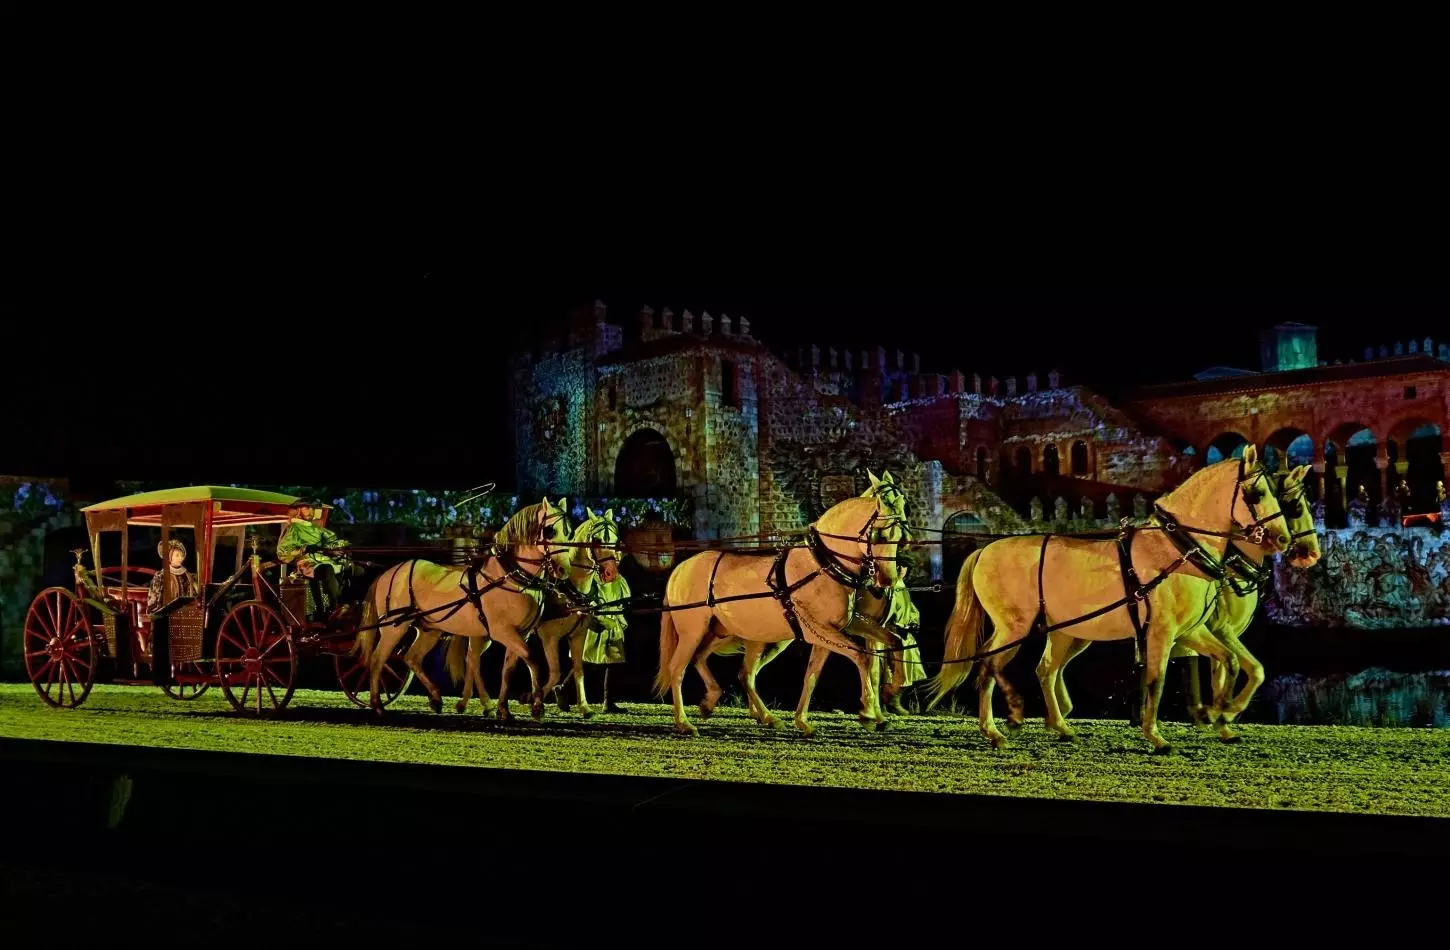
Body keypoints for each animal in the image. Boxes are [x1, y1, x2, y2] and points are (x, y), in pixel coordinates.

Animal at [355, 498, 571, 722]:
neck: (509, 577)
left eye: (569, 531)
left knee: (411, 658)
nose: (564, 570)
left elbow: (509, 670)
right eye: (550, 531)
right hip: (394, 627)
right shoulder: (502, 632)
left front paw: (503, 709)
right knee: (377, 660)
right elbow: (534, 662)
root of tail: (388, 573)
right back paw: (377, 705)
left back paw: (436, 698)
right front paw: (536, 706)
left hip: (430, 629)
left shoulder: (521, 633)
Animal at [658, 472, 904, 739]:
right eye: (880, 534)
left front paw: (803, 721)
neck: (821, 565)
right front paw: (868, 714)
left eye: (900, 535)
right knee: (678, 668)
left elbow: (815, 674)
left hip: (724, 632)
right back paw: (684, 722)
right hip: (693, 632)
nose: (887, 580)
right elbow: (861, 656)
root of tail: (680, 569)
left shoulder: (836, 629)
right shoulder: (817, 631)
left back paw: (732, 707)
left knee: (721, 665)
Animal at [922, 449, 1287, 754]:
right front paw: (1156, 735)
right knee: (988, 664)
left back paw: (1057, 726)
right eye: (1257, 493)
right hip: (1016, 628)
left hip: (1064, 632)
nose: (1282, 539)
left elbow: (1231, 661)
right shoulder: (1162, 632)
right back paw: (1002, 722)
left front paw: (1221, 713)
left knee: (1042, 669)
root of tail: (985, 549)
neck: (1175, 551)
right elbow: (1157, 679)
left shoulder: (1190, 631)